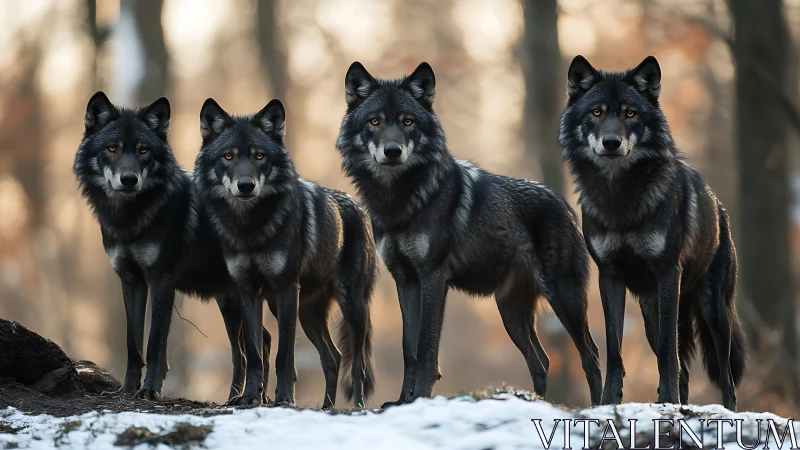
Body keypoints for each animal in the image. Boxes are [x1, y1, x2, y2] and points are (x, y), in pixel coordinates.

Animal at [74, 92, 272, 402]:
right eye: (112, 148)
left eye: (143, 150)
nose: (128, 179)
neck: (131, 219)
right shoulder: (131, 281)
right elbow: (133, 343)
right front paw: (127, 390)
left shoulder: (161, 280)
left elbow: (155, 342)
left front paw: (149, 390)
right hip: (229, 300)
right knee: (251, 347)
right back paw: (240, 398)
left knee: (258, 344)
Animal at [194, 98, 378, 408]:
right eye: (228, 156)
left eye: (259, 156)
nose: (246, 185)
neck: (250, 228)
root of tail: (360, 210)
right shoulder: (248, 291)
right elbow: (255, 352)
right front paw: (250, 397)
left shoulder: (286, 289)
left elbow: (284, 355)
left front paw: (284, 398)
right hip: (305, 314)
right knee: (333, 357)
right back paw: (327, 407)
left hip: (350, 306)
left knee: (358, 362)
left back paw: (357, 406)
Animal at [336, 61, 603, 407]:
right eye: (374, 121)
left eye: (408, 121)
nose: (392, 151)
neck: (399, 199)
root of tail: (564, 203)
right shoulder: (405, 280)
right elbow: (409, 349)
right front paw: (403, 402)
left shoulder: (433, 278)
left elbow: (425, 350)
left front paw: (421, 398)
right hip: (511, 312)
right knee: (541, 361)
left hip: (563, 297)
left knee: (591, 354)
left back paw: (602, 404)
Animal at [559, 55, 746, 410]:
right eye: (596, 112)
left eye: (630, 113)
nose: (611, 142)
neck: (619, 196)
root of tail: (722, 212)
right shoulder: (609, 276)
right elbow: (614, 349)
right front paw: (608, 401)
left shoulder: (668, 273)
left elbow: (668, 354)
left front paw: (667, 399)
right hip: (652, 315)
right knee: (682, 366)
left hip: (714, 312)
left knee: (725, 373)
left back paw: (723, 409)